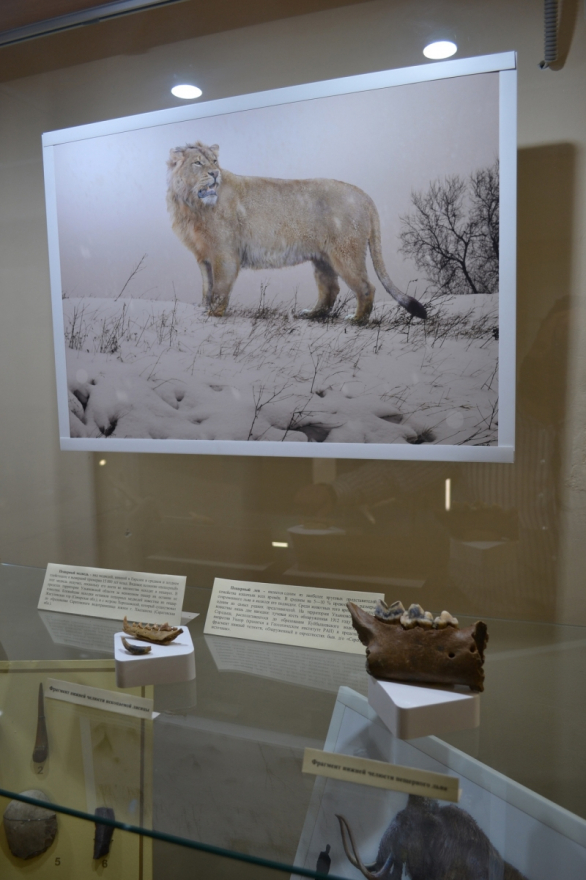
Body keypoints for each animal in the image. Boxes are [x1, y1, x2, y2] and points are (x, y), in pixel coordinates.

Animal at [166, 141, 426, 323]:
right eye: (198, 163)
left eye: (214, 161)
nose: (215, 174)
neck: (192, 205)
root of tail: (364, 195)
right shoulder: (203, 257)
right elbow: (207, 287)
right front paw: (203, 308)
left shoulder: (224, 253)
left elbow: (220, 288)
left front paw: (215, 314)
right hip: (323, 258)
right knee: (330, 289)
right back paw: (311, 314)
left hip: (345, 253)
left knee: (365, 287)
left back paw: (357, 319)